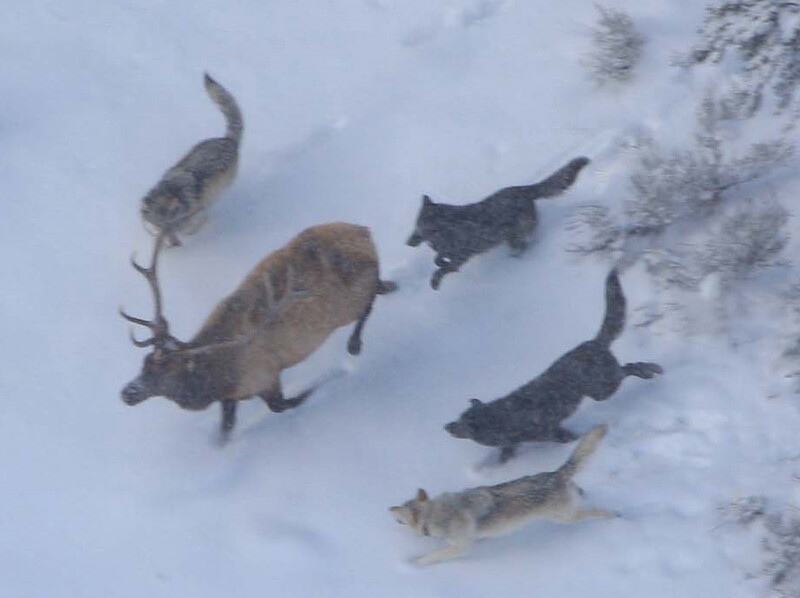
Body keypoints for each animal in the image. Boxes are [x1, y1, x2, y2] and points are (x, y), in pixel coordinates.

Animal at [121, 223, 396, 442]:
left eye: (166, 371)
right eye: (144, 363)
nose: (127, 393)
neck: (218, 377)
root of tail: (364, 231)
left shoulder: (266, 377)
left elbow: (286, 404)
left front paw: (332, 376)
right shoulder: (231, 396)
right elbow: (226, 429)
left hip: (349, 301)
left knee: (368, 302)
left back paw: (355, 344)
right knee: (379, 287)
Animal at [406, 157, 588, 290]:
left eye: (420, 226)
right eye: (415, 224)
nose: (408, 242)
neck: (445, 230)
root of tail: (524, 189)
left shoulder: (462, 255)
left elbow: (441, 269)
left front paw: (436, 280)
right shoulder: (448, 253)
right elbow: (438, 260)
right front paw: (441, 263)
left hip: (515, 235)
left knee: (523, 245)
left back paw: (516, 259)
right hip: (510, 237)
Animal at [444, 270, 664, 464]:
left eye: (462, 423)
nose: (447, 426)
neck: (499, 419)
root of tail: (593, 342)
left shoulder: (551, 432)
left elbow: (569, 438)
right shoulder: (512, 445)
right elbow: (505, 456)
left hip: (602, 389)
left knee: (629, 368)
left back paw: (650, 370)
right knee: (628, 368)